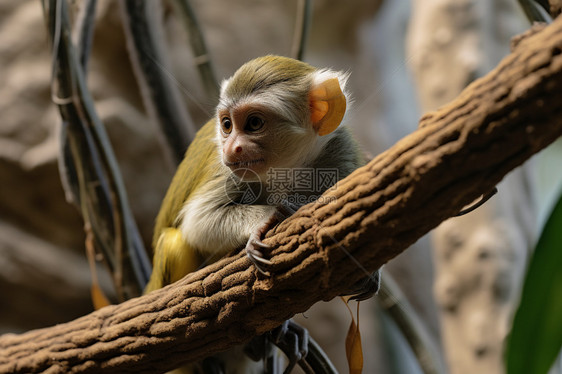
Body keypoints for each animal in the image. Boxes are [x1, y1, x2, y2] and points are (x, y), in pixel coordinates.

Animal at [144, 54, 376, 372]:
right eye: (227, 125)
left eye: (254, 123)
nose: (232, 147)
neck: (286, 169)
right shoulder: (226, 168)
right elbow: (199, 222)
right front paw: (266, 219)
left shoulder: (341, 155)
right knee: (173, 242)